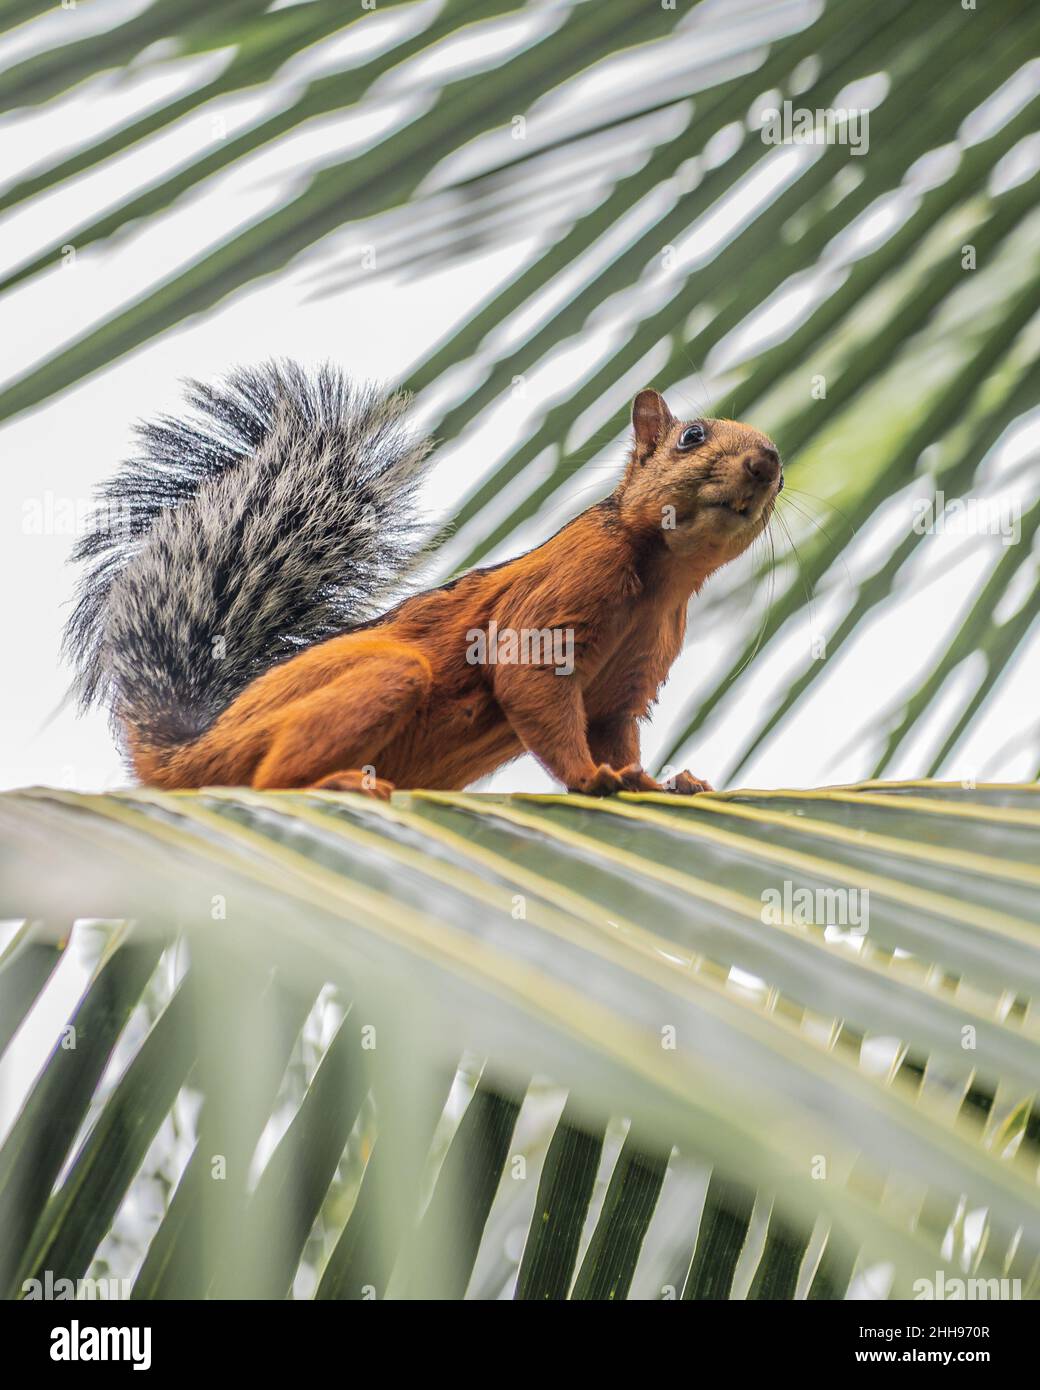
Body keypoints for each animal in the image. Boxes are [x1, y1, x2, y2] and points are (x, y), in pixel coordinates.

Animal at [66, 361, 782, 799]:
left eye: (778, 469)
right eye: (691, 436)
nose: (770, 462)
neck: (663, 577)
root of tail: (187, 753)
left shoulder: (628, 682)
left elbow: (616, 728)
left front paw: (653, 781)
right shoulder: (560, 588)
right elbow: (526, 679)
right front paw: (587, 778)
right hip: (368, 682)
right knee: (268, 781)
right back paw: (333, 785)